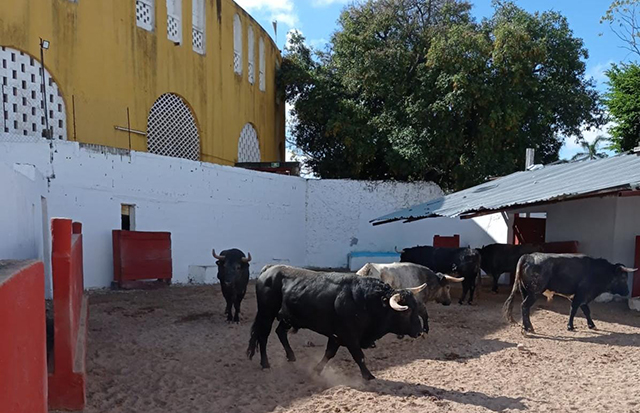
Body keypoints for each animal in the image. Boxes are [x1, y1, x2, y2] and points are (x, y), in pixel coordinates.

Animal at [248, 266, 428, 378]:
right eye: (407, 311)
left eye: (415, 307)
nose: (419, 331)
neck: (365, 301)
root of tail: (269, 270)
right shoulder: (348, 335)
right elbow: (359, 356)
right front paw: (368, 376)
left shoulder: (336, 336)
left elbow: (329, 353)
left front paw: (317, 369)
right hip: (266, 314)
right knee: (263, 336)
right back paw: (265, 363)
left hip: (288, 318)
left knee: (280, 332)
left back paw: (291, 356)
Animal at [504, 251, 636, 332]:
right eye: (623, 277)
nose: (627, 291)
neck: (598, 272)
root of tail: (528, 256)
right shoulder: (581, 295)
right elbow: (573, 310)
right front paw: (570, 326)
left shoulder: (581, 297)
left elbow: (586, 311)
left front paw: (591, 325)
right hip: (534, 292)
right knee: (525, 306)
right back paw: (528, 328)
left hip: (525, 291)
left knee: (525, 308)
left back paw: (528, 326)